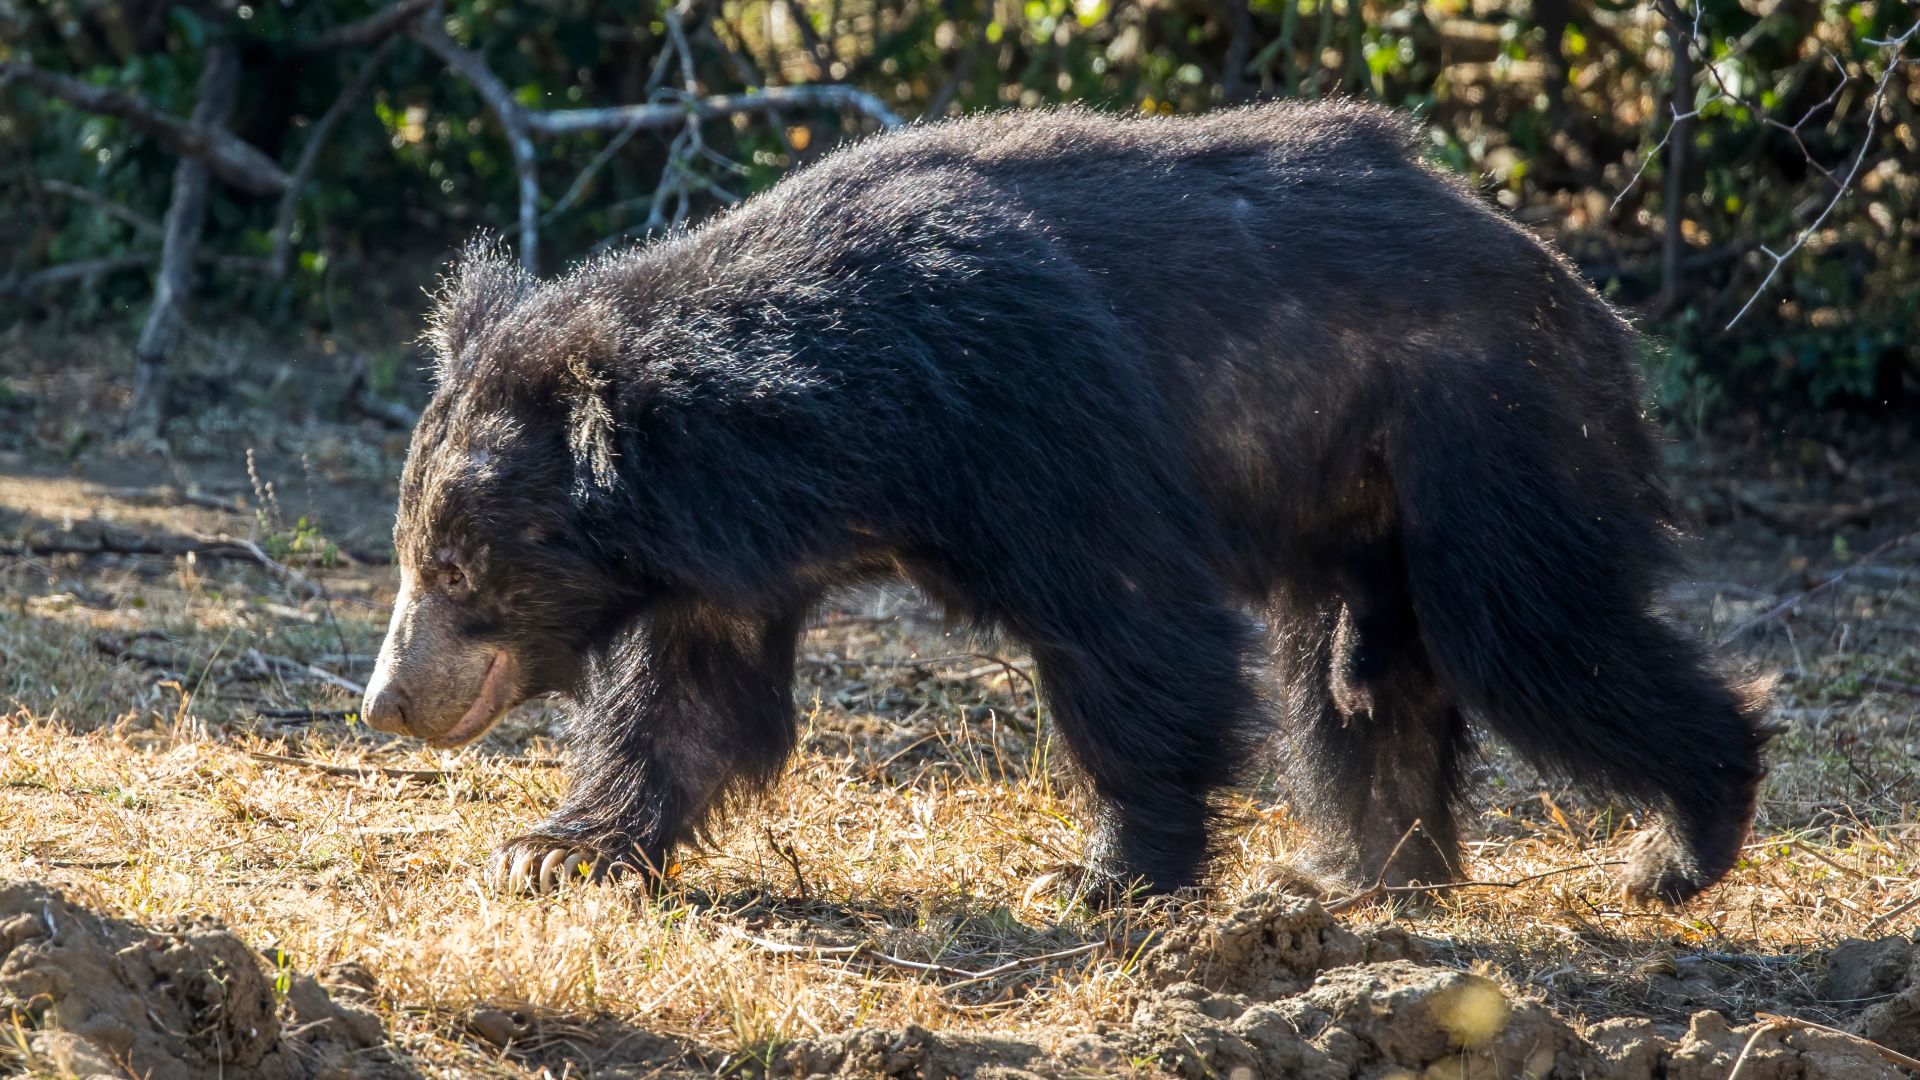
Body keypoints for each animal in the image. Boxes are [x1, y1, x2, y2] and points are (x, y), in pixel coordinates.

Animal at [360, 101, 1771, 904]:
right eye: (412, 555)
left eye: (462, 570)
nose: (387, 705)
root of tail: (1573, 284)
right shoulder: (733, 559)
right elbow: (693, 703)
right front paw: (553, 851)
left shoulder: (1032, 405)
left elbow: (1132, 628)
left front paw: (1106, 876)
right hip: (1356, 494)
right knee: (1358, 675)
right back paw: (1358, 869)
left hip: (1488, 431)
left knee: (1534, 636)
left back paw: (1679, 846)